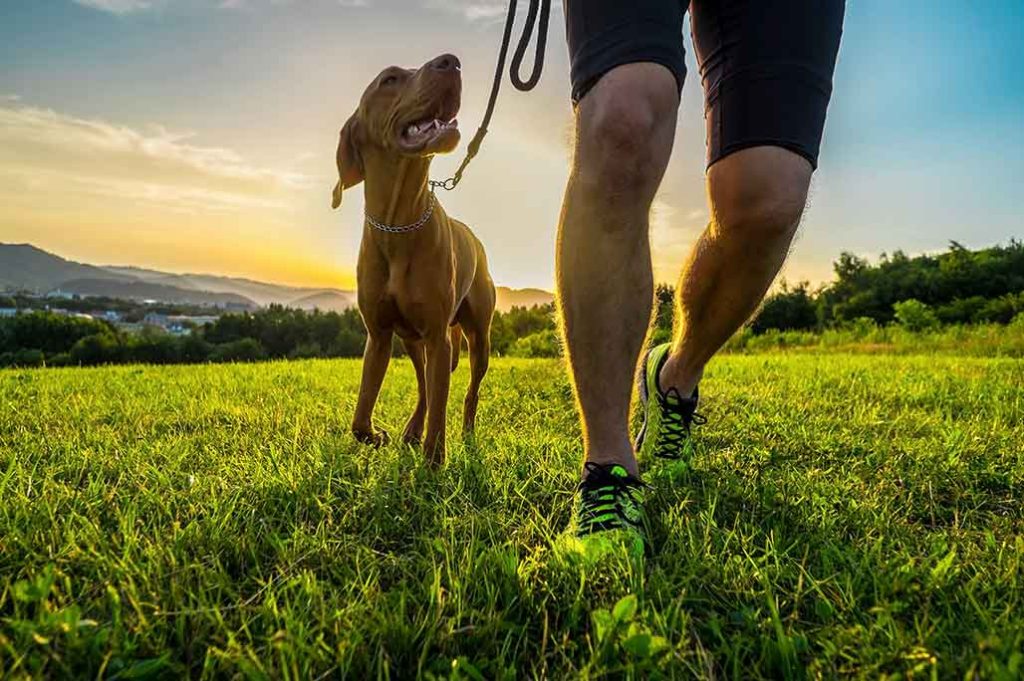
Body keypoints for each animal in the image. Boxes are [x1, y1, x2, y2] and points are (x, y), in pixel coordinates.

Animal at [331, 54, 495, 466]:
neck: (398, 223)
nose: (451, 62)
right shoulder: (379, 336)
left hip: (477, 338)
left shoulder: (439, 335)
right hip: (413, 341)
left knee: (468, 391)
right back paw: (410, 431)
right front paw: (377, 435)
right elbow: (359, 418)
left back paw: (466, 433)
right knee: (424, 386)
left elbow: (441, 409)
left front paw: (434, 461)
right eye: (389, 79)